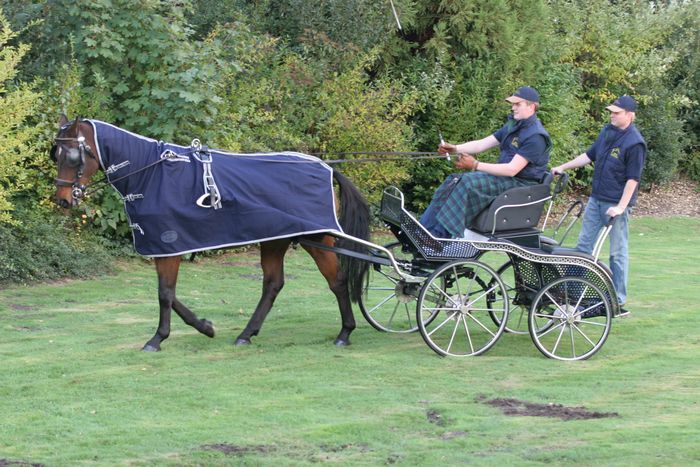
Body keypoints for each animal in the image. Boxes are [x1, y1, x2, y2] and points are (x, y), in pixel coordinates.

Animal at [51, 116, 370, 352]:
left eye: (72, 156)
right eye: (56, 155)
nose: (63, 200)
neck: (151, 175)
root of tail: (326, 167)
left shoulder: (169, 244)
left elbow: (165, 294)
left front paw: (158, 338)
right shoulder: (164, 248)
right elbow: (169, 293)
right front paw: (204, 326)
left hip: (317, 238)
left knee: (337, 281)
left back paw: (345, 332)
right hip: (275, 239)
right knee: (273, 284)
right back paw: (247, 333)